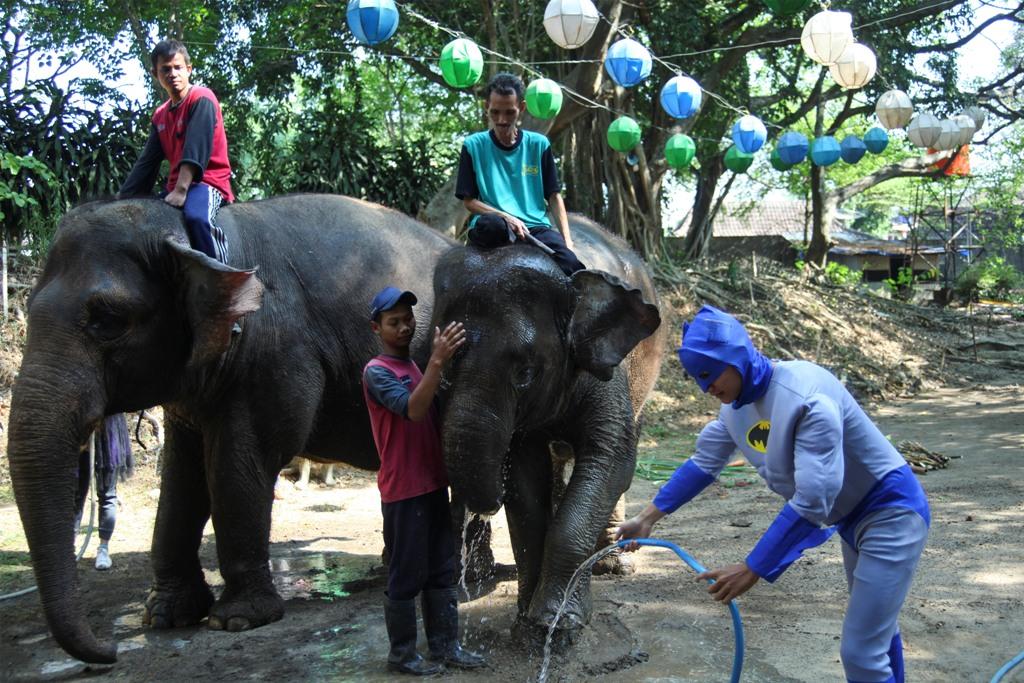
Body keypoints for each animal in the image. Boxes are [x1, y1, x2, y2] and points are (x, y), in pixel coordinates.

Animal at [7, 194, 452, 663]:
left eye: (108, 319)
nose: (109, 652)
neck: (199, 242)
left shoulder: (275, 353)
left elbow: (239, 464)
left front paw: (237, 620)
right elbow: (182, 478)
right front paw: (165, 616)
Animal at [428, 218, 659, 647]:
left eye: (525, 372)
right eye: (442, 366)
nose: (486, 503)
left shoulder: (607, 374)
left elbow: (610, 459)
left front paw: (558, 623)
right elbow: (524, 481)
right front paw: (527, 625)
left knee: (626, 450)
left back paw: (614, 565)